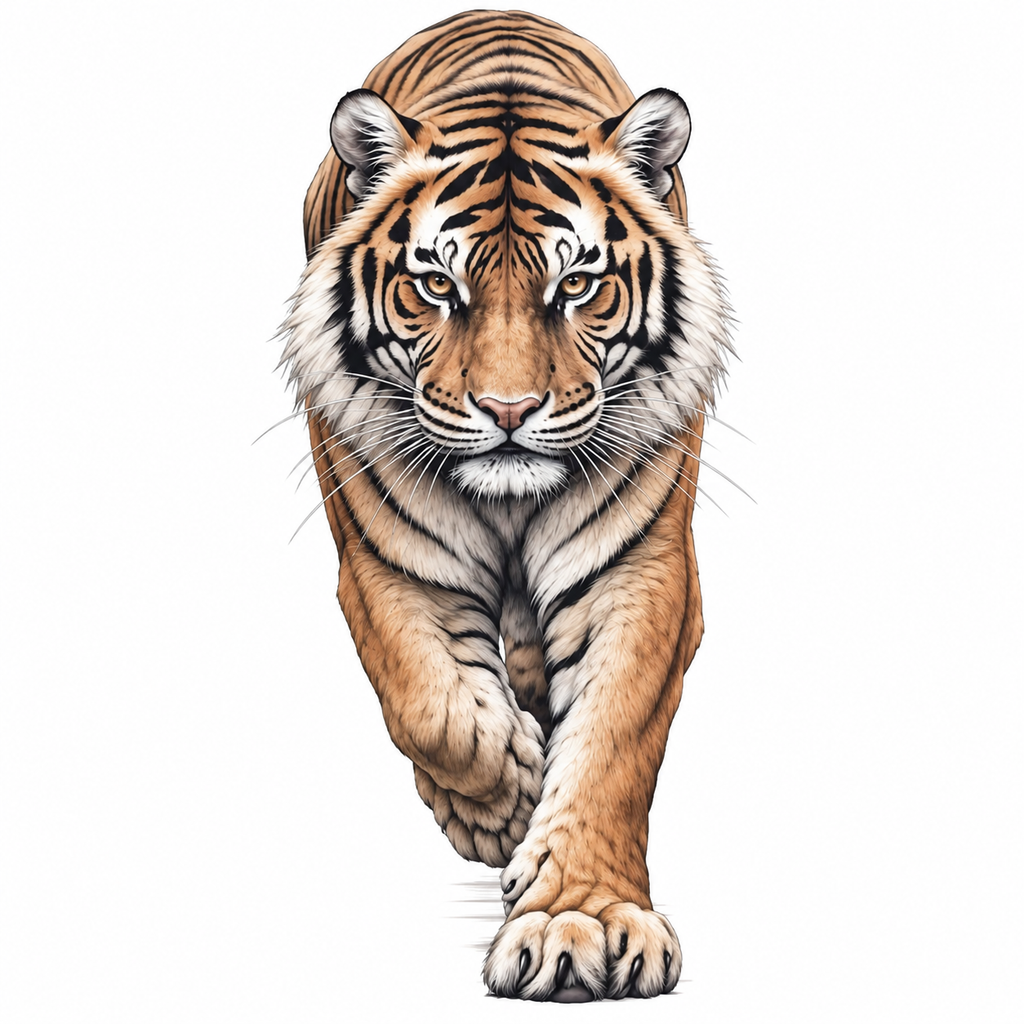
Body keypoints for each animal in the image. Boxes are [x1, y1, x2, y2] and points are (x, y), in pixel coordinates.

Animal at [279, 9, 732, 1002]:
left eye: (579, 285)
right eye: (436, 285)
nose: (510, 410)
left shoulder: (639, 574)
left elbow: (612, 745)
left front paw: (577, 921)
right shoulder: (386, 565)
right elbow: (432, 707)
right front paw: (506, 802)